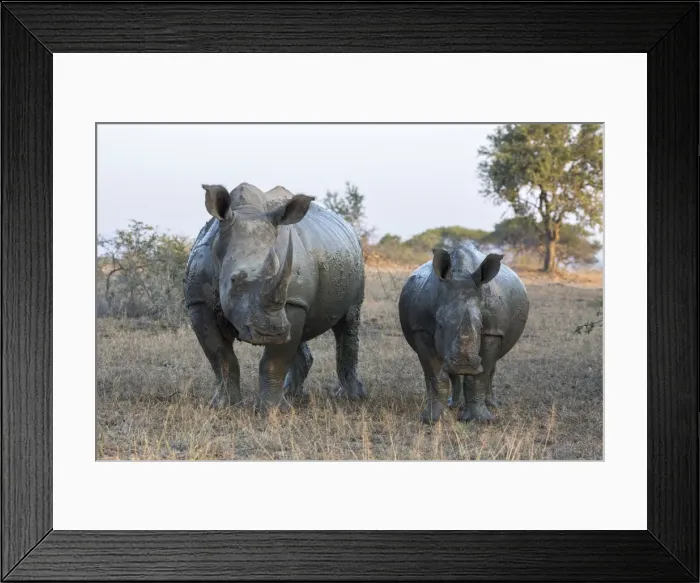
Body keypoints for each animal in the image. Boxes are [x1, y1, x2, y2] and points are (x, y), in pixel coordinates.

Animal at [184, 182, 367, 413]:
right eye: (234, 280)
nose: (271, 332)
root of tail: (348, 227)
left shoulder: (293, 301)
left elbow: (274, 360)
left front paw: (273, 411)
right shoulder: (198, 302)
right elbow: (220, 355)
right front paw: (224, 405)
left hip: (356, 259)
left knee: (349, 320)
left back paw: (350, 397)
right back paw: (292, 393)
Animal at [398, 241, 529, 424]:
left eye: (480, 326)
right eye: (440, 325)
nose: (464, 364)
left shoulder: (492, 331)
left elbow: (480, 375)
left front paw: (479, 420)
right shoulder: (421, 329)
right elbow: (435, 375)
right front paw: (431, 419)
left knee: (492, 367)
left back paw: (492, 404)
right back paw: (452, 405)